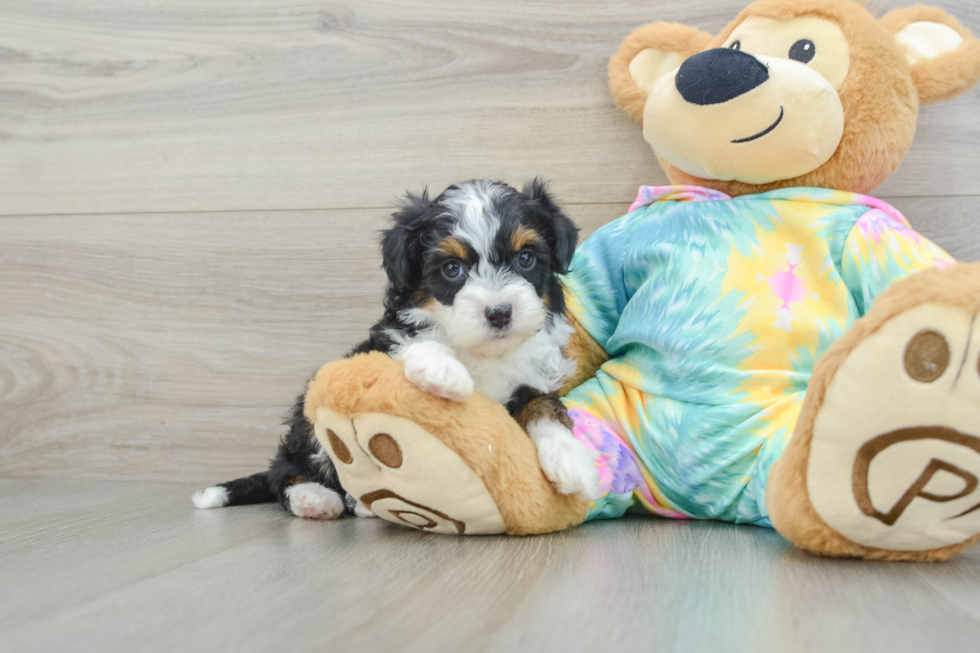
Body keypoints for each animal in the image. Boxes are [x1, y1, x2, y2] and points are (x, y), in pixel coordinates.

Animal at [193, 178, 596, 520]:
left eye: (525, 258)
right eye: (452, 268)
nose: (499, 312)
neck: (483, 352)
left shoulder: (533, 377)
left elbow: (543, 403)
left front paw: (570, 458)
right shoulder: (386, 344)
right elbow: (414, 346)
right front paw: (445, 372)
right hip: (309, 420)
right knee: (287, 468)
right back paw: (314, 498)